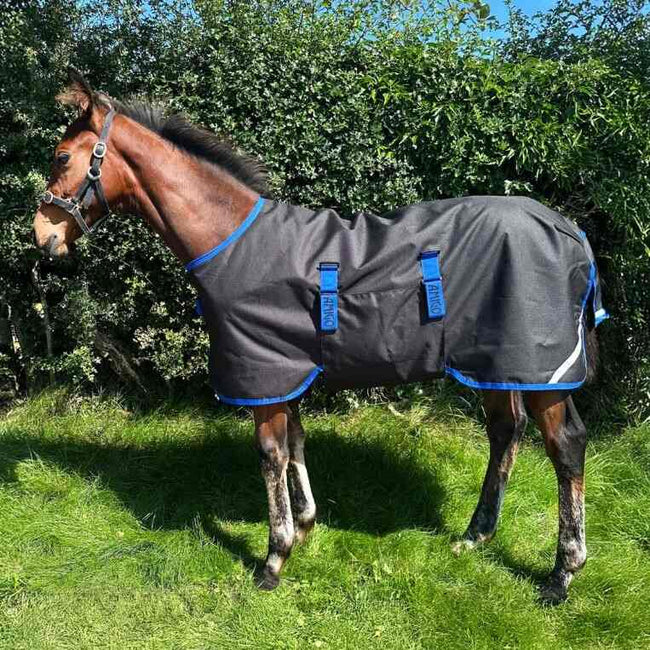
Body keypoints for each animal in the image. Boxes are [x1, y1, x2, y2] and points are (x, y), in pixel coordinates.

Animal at [33, 70, 608, 604]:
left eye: (61, 156)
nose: (43, 236)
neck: (232, 241)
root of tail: (570, 230)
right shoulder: (283, 371)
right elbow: (295, 440)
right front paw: (306, 525)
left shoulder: (263, 374)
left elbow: (270, 454)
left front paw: (274, 558)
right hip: (496, 364)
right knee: (506, 433)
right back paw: (475, 536)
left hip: (542, 371)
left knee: (565, 446)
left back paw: (562, 573)